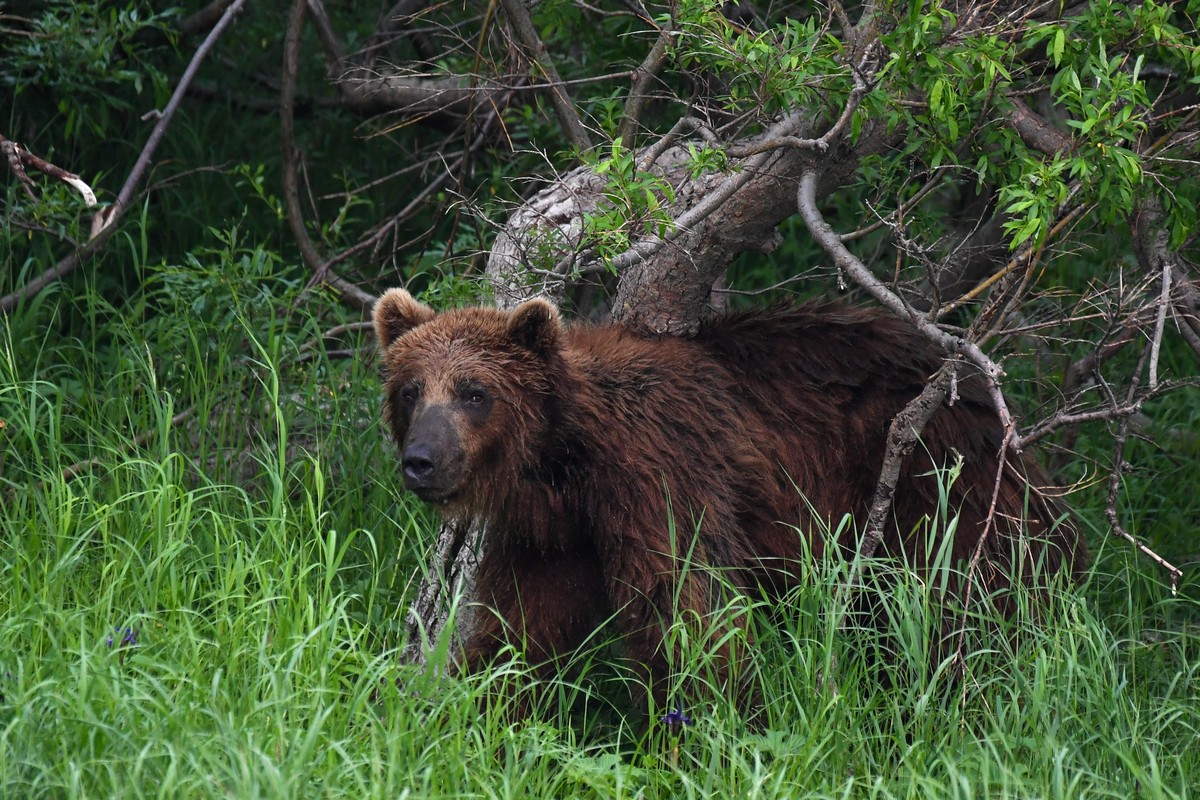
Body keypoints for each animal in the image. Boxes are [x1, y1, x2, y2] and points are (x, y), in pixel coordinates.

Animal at [373, 288, 1086, 713]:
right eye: (411, 389)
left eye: (473, 392)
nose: (421, 461)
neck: (570, 457)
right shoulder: (555, 531)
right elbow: (521, 621)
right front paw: (488, 709)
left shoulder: (660, 472)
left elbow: (686, 611)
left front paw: (691, 727)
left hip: (937, 476)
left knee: (972, 597)